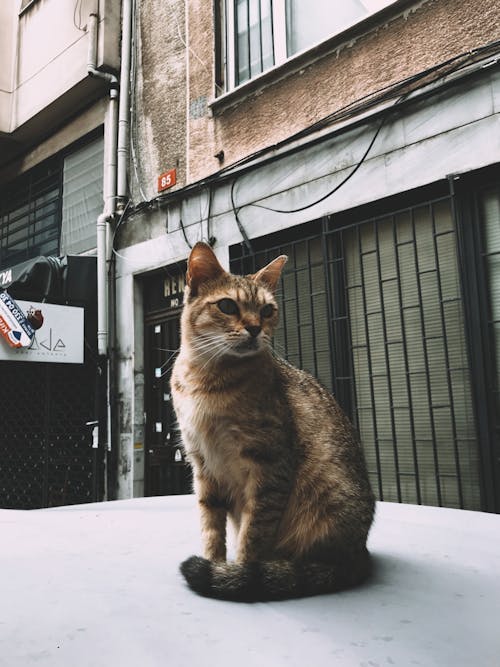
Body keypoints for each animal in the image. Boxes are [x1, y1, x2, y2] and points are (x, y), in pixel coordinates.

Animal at [172, 243, 376, 604]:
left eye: (267, 310)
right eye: (227, 305)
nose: (255, 328)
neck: (205, 380)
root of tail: (359, 554)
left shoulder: (269, 465)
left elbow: (253, 535)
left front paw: (238, 574)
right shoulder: (202, 466)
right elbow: (211, 527)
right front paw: (215, 564)